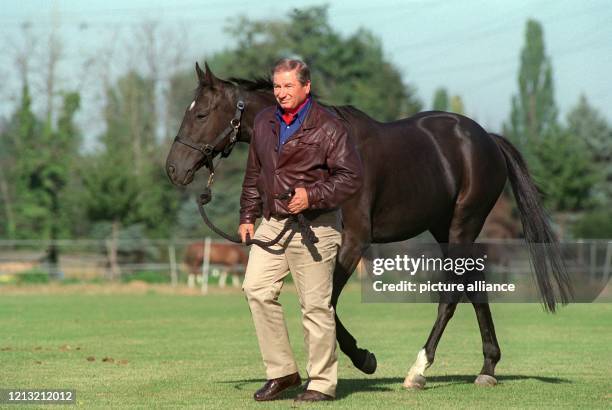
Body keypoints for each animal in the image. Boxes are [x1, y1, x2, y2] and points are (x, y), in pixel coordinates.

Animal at [165, 62, 572, 390]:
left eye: (201, 114)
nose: (173, 168)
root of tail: (487, 139)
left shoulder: (353, 242)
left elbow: (326, 302)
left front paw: (363, 359)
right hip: (446, 229)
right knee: (474, 287)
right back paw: (487, 367)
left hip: (462, 225)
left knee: (452, 294)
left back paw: (419, 370)